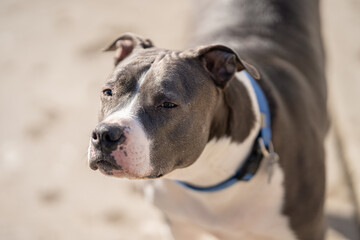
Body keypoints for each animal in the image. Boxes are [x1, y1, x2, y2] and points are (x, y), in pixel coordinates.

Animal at [88, 0, 330, 239]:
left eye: (167, 104)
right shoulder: (179, 226)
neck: (206, 177)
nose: (105, 134)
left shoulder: (308, 229)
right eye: (108, 92)